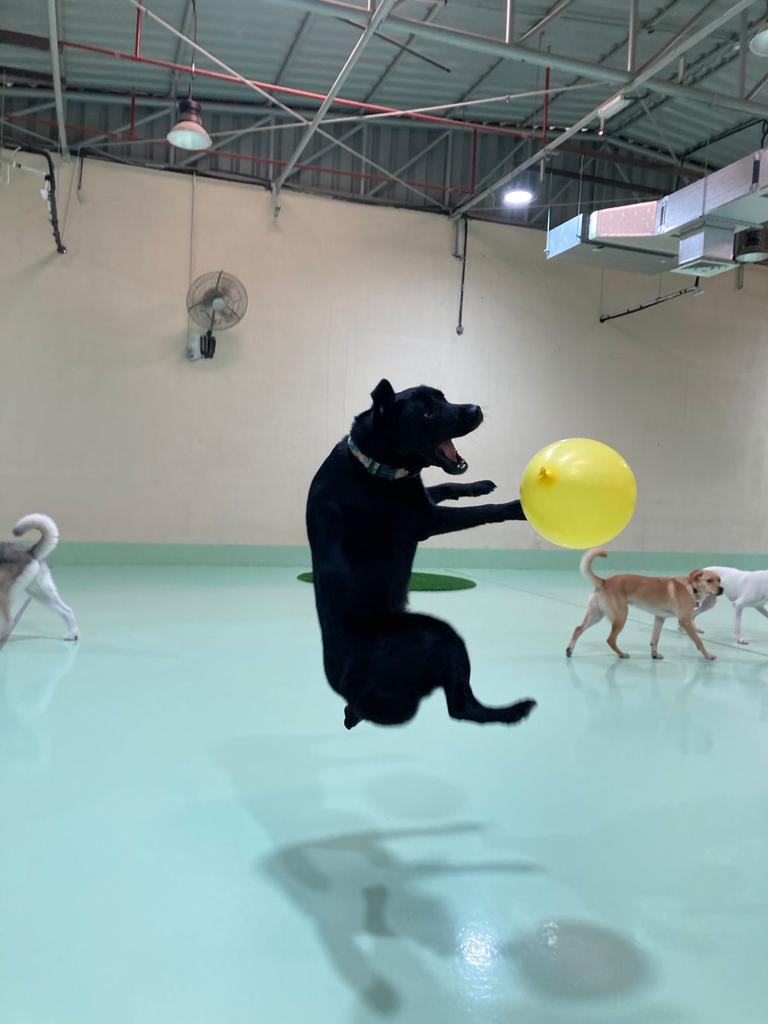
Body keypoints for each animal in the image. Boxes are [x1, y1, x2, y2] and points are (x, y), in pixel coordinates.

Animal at [305, 382, 536, 729]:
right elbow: (483, 512)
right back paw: (516, 710)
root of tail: (355, 697)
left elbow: (446, 486)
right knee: (461, 708)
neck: (371, 463)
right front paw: (517, 507)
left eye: (443, 397)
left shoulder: (422, 498)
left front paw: (479, 485)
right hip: (440, 636)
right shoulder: (428, 520)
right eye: (427, 412)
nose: (476, 409)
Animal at [569, 548, 724, 659]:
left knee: (578, 629)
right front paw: (708, 655)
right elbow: (699, 640)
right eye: (709, 580)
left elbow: (655, 639)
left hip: (596, 614)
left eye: (719, 580)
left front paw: (654, 654)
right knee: (610, 639)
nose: (722, 589)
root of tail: (605, 581)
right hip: (621, 616)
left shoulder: (659, 618)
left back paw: (569, 650)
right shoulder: (685, 621)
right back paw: (622, 654)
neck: (692, 588)